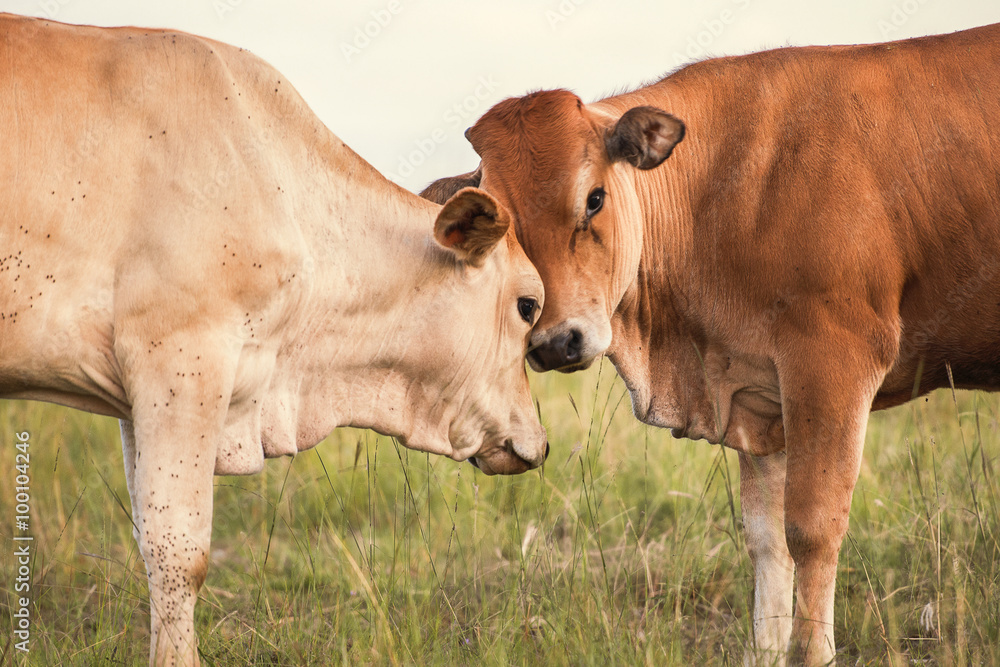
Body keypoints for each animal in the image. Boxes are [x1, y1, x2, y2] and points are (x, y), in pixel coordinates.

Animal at [422, 23, 1000, 664]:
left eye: (594, 198)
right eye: (504, 225)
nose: (555, 342)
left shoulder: (832, 366)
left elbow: (813, 528)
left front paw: (812, 651)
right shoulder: (760, 395)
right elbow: (767, 540)